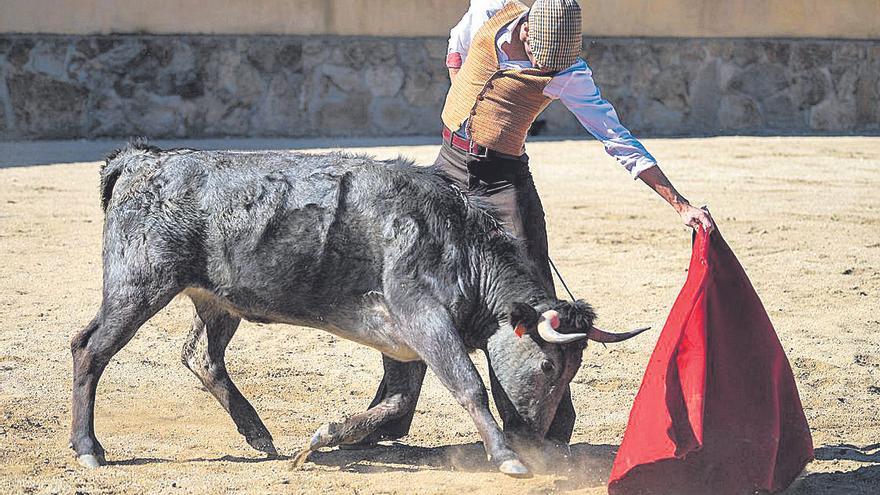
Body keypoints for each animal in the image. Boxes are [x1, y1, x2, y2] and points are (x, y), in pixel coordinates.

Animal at [70, 142, 648, 476]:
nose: (535, 444)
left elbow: (394, 404)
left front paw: (321, 441)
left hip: (216, 299)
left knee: (202, 357)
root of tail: (142, 159)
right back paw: (88, 448)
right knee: (90, 350)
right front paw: (506, 459)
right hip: (138, 287)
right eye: (549, 366)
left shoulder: (406, 342)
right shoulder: (424, 318)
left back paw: (261, 437)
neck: (458, 244)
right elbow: (468, 385)